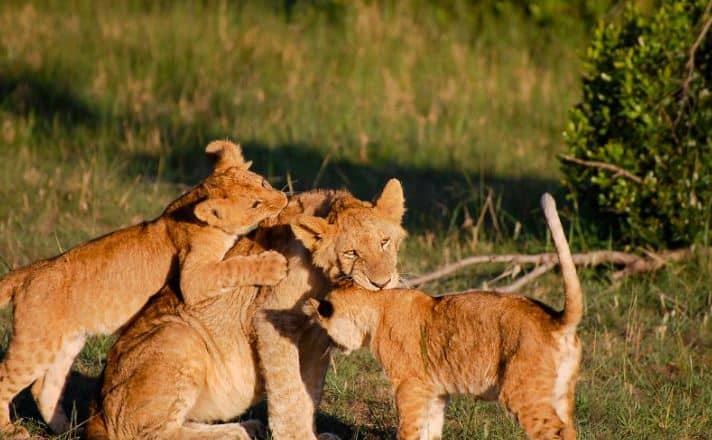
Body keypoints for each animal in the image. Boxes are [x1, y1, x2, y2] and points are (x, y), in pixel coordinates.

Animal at [0, 141, 289, 436]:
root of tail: (29, 270)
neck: (192, 201)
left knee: (44, 389)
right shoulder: (193, 279)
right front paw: (273, 265)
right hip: (35, 343)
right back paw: (11, 430)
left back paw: (68, 428)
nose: (283, 199)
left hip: (65, 344)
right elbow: (231, 268)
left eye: (264, 183)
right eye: (255, 204)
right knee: (5, 378)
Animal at [86, 179, 406, 440]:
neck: (325, 279)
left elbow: (310, 390)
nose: (382, 283)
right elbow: (288, 390)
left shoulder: (316, 339)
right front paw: (298, 437)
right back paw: (235, 434)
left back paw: (246, 427)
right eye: (352, 252)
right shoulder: (272, 320)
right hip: (179, 335)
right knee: (148, 433)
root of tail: (97, 410)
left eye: (384, 241)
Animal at [304, 194, 582, 440]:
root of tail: (556, 319)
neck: (378, 304)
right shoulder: (435, 393)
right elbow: (430, 430)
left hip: (523, 394)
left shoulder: (410, 386)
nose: (336, 348)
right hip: (561, 395)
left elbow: (408, 429)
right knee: (571, 430)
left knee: (557, 432)